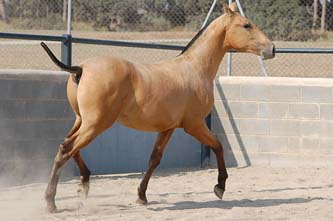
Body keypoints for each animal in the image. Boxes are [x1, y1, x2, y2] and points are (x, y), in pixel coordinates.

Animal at [40, 2, 274, 212]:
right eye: (246, 25)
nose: (272, 48)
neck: (194, 68)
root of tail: (81, 68)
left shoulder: (167, 128)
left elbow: (154, 159)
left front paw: (141, 196)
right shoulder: (194, 125)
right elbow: (218, 145)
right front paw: (220, 186)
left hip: (82, 120)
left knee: (68, 146)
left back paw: (83, 187)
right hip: (96, 124)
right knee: (67, 149)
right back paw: (51, 202)